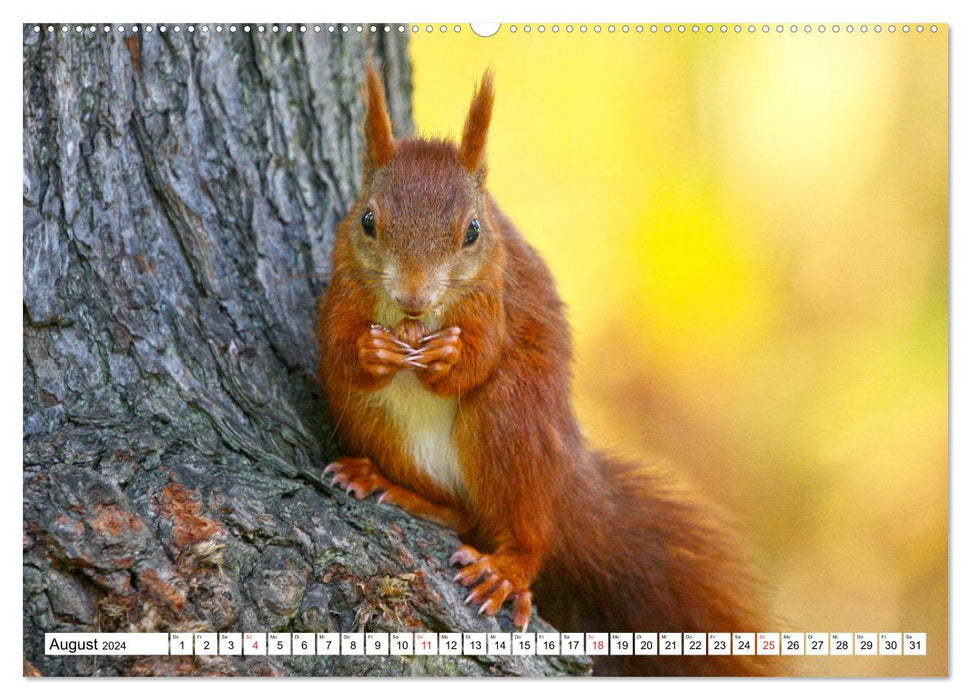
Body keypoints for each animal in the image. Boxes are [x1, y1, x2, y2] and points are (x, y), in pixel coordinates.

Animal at [318, 65, 776, 672]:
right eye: (368, 220)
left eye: (472, 232)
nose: (414, 298)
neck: (415, 322)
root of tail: (562, 475)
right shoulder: (343, 284)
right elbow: (334, 343)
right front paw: (372, 352)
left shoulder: (494, 298)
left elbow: (479, 357)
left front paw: (448, 358)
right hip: (371, 420)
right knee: (460, 515)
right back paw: (385, 483)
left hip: (511, 420)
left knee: (529, 531)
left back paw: (508, 571)